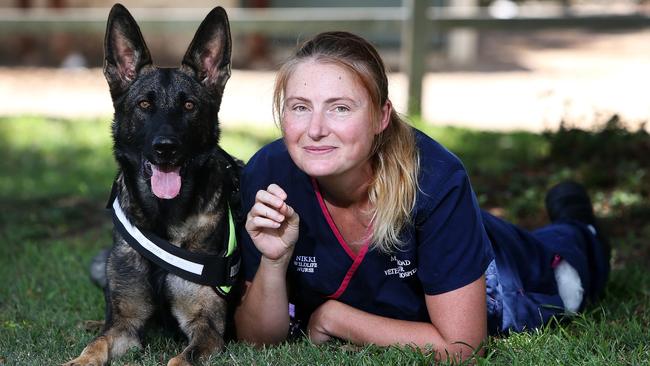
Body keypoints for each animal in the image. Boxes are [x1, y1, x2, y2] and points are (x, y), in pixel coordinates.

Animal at [65, 3, 240, 366]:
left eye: (189, 105)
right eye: (144, 105)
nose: (166, 148)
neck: (163, 218)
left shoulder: (206, 328)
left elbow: (179, 359)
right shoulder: (126, 324)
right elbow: (96, 345)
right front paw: (79, 357)